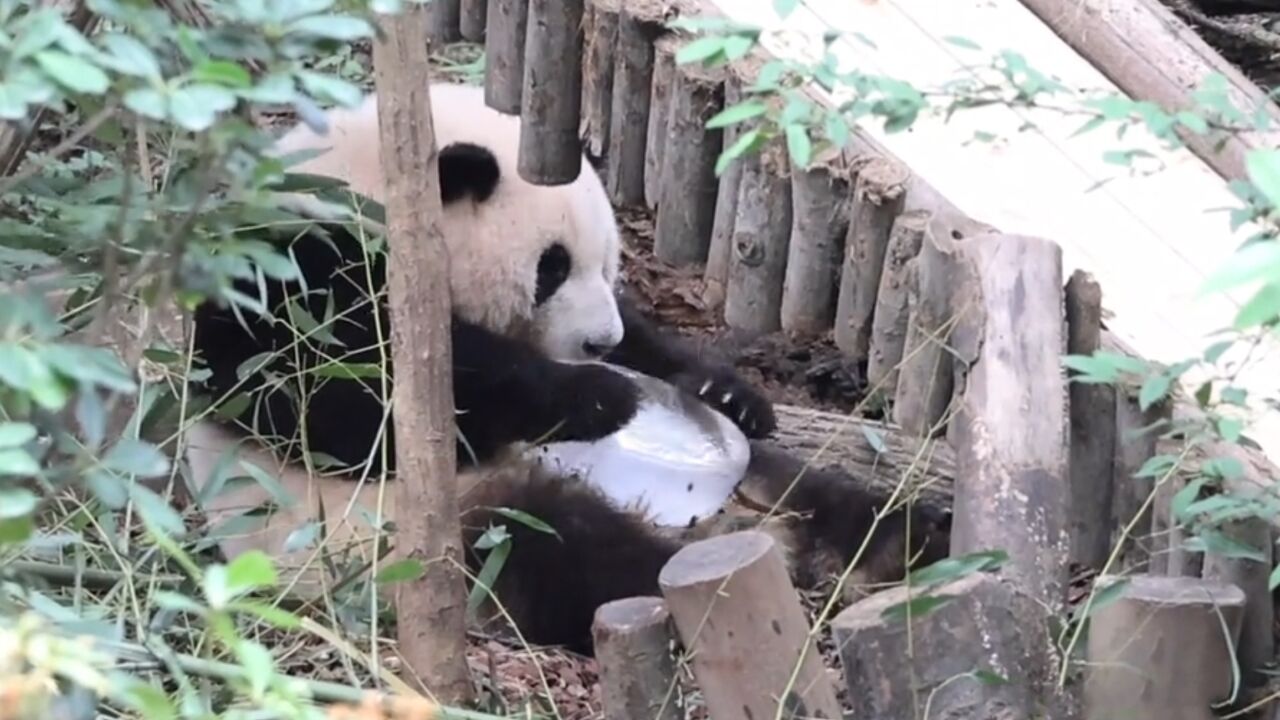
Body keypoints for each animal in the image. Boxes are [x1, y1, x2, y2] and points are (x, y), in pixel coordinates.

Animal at [183, 81, 952, 653]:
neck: (365, 182)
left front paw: (727, 393)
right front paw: (596, 396)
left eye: (608, 262)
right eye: (552, 266)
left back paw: (903, 539)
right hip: (422, 535)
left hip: (754, 481)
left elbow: (655, 347)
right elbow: (328, 400)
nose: (596, 343)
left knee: (819, 494)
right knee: (573, 557)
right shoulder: (289, 266)